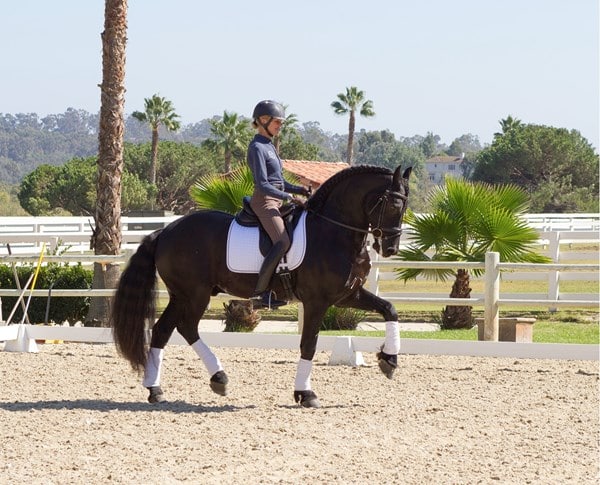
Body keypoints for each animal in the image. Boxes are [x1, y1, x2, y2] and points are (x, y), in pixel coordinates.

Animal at [110, 164, 410, 406]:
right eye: (394, 205)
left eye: (405, 207)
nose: (391, 248)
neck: (333, 232)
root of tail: (166, 231)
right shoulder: (317, 301)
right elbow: (309, 345)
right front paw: (305, 394)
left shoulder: (348, 294)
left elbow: (390, 309)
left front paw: (389, 360)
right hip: (195, 294)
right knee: (186, 327)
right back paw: (218, 378)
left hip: (181, 295)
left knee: (163, 331)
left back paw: (156, 390)